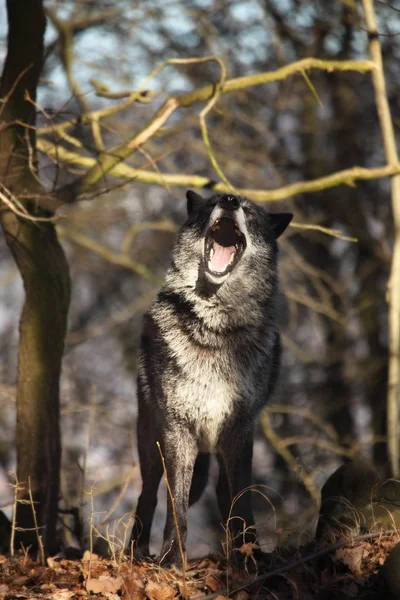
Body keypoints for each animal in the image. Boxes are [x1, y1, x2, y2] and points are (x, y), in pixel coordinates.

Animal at [130, 191, 292, 568]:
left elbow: (242, 499)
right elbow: (176, 504)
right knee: (148, 495)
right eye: (214, 203)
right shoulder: (178, 431)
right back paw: (137, 553)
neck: (216, 329)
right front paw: (172, 558)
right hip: (150, 440)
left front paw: (251, 555)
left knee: (222, 492)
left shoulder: (241, 429)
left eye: (249, 211)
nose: (230, 200)